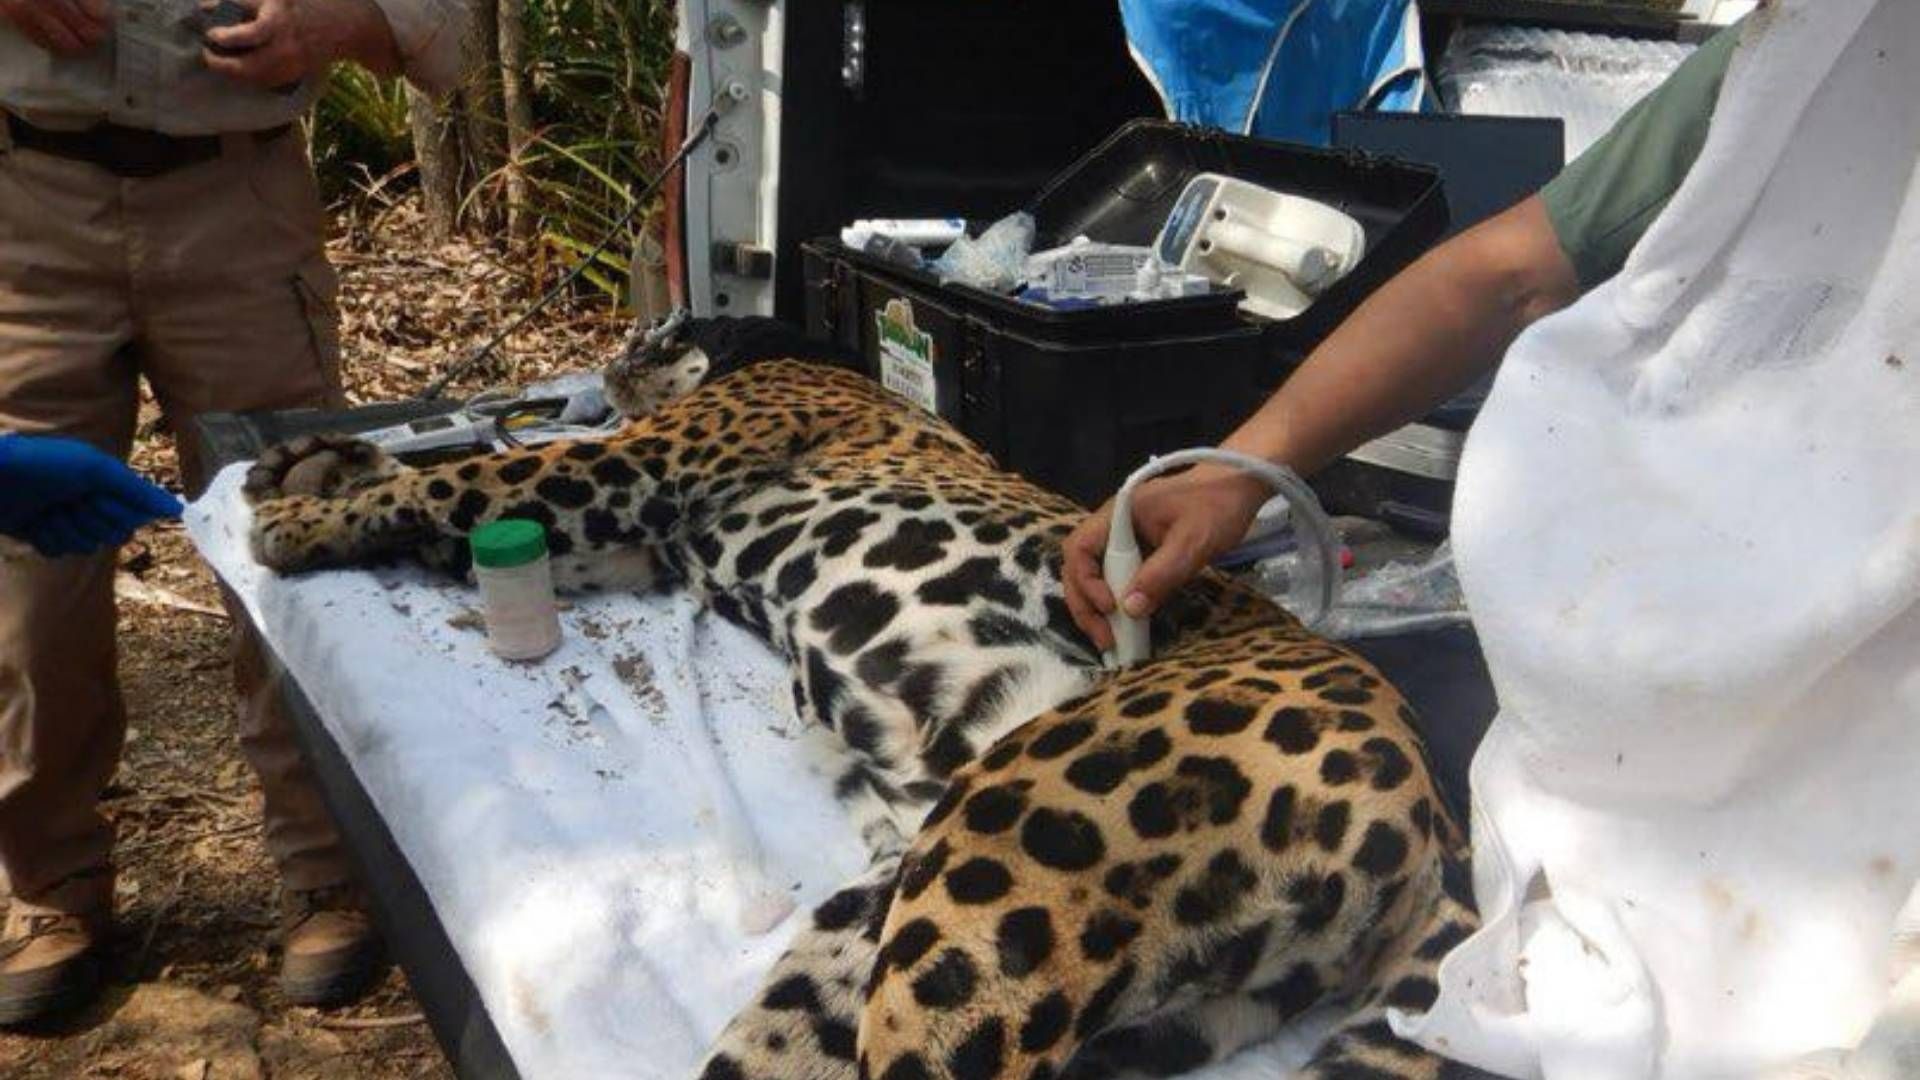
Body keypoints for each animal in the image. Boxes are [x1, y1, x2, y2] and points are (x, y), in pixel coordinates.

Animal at [241, 321, 1477, 1080]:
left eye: (652, 334)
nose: (610, 362)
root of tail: (1442, 818)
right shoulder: (625, 545)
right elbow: (451, 495)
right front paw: (313, 465)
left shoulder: (630, 472)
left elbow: (467, 477)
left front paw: (296, 518)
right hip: (918, 941)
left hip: (1002, 871)